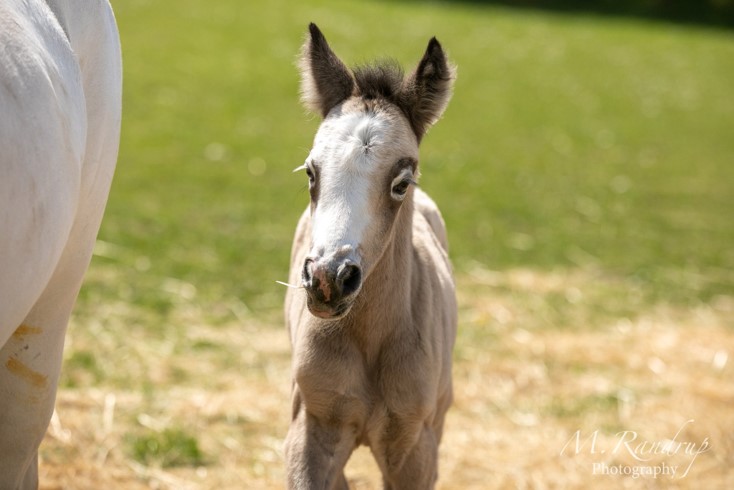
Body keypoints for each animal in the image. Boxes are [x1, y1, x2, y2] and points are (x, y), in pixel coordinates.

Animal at [284, 23, 458, 490]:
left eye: (401, 183)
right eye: (311, 172)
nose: (328, 279)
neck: (371, 340)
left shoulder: (416, 449)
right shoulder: (310, 432)